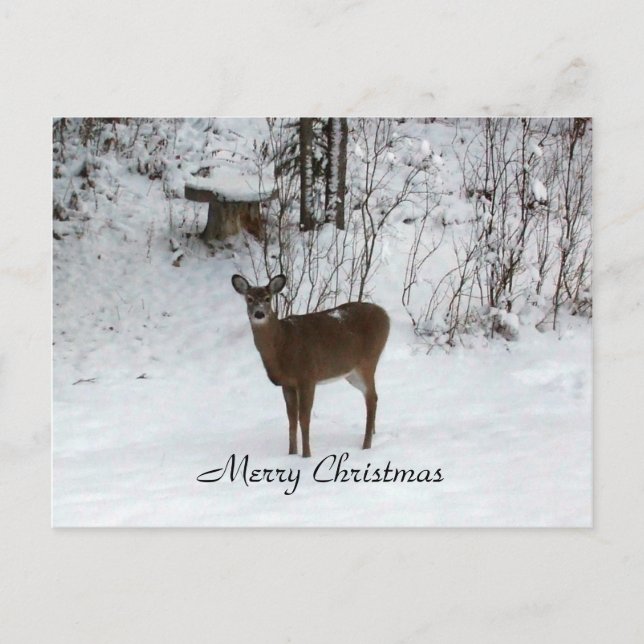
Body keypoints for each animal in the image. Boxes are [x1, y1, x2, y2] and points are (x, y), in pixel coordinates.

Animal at [231, 274, 390, 457]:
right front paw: (291, 453)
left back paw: (366, 446)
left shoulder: (307, 376)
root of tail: (386, 316)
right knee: (372, 397)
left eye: (267, 298)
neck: (282, 343)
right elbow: (291, 419)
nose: (259, 313)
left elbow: (304, 418)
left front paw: (306, 455)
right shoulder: (288, 384)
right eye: (249, 299)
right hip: (351, 373)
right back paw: (372, 435)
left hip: (368, 360)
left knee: (372, 398)